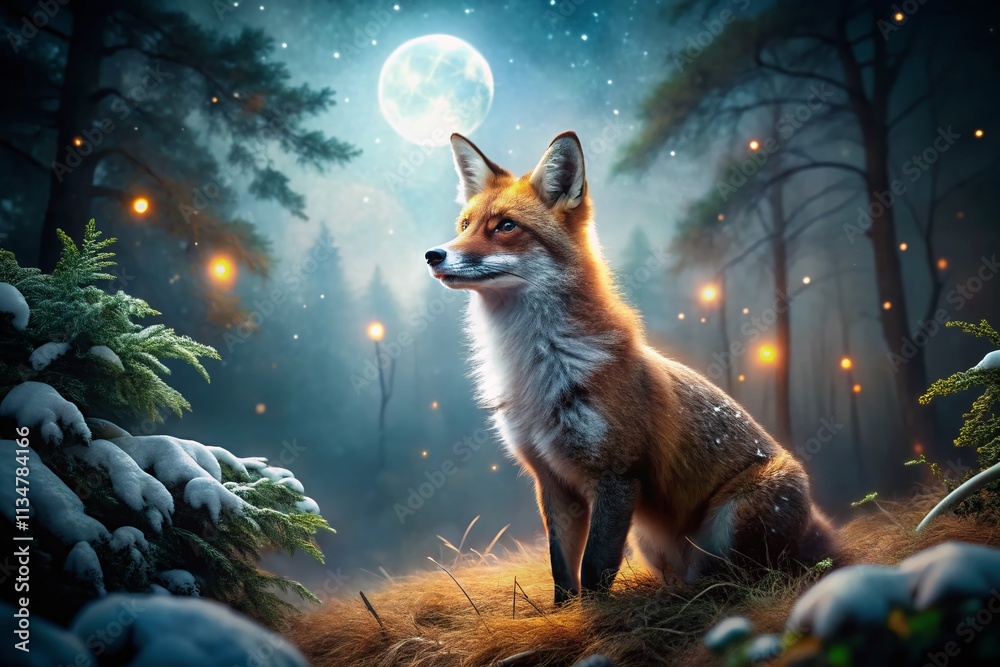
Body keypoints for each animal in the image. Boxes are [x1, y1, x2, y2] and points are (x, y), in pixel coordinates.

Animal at [424, 131, 840, 604]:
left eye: (505, 226)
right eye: (464, 225)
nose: (434, 255)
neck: (538, 365)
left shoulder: (617, 475)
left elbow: (595, 568)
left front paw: (596, 615)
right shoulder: (552, 481)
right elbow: (562, 571)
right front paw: (566, 616)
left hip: (737, 517)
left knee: (742, 579)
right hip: (650, 540)